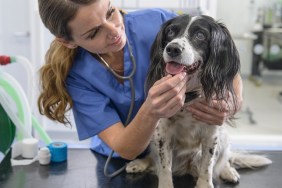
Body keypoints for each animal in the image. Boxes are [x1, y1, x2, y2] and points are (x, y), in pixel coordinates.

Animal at [126, 14, 272, 188]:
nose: (172, 49)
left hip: (223, 137)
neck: (189, 95)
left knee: (224, 160)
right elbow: (164, 167)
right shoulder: (163, 132)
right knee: (154, 159)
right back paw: (139, 163)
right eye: (170, 31)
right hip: (153, 136)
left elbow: (207, 167)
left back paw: (228, 171)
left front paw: (205, 183)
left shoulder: (211, 134)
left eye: (200, 35)